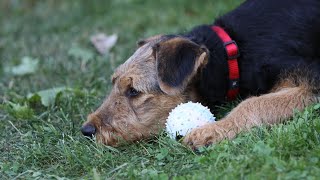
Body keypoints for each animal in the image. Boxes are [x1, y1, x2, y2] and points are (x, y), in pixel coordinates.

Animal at [81, 0, 320, 149]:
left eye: (133, 91)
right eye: (113, 83)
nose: (87, 130)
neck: (232, 51)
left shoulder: (311, 79)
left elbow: (255, 103)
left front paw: (209, 132)